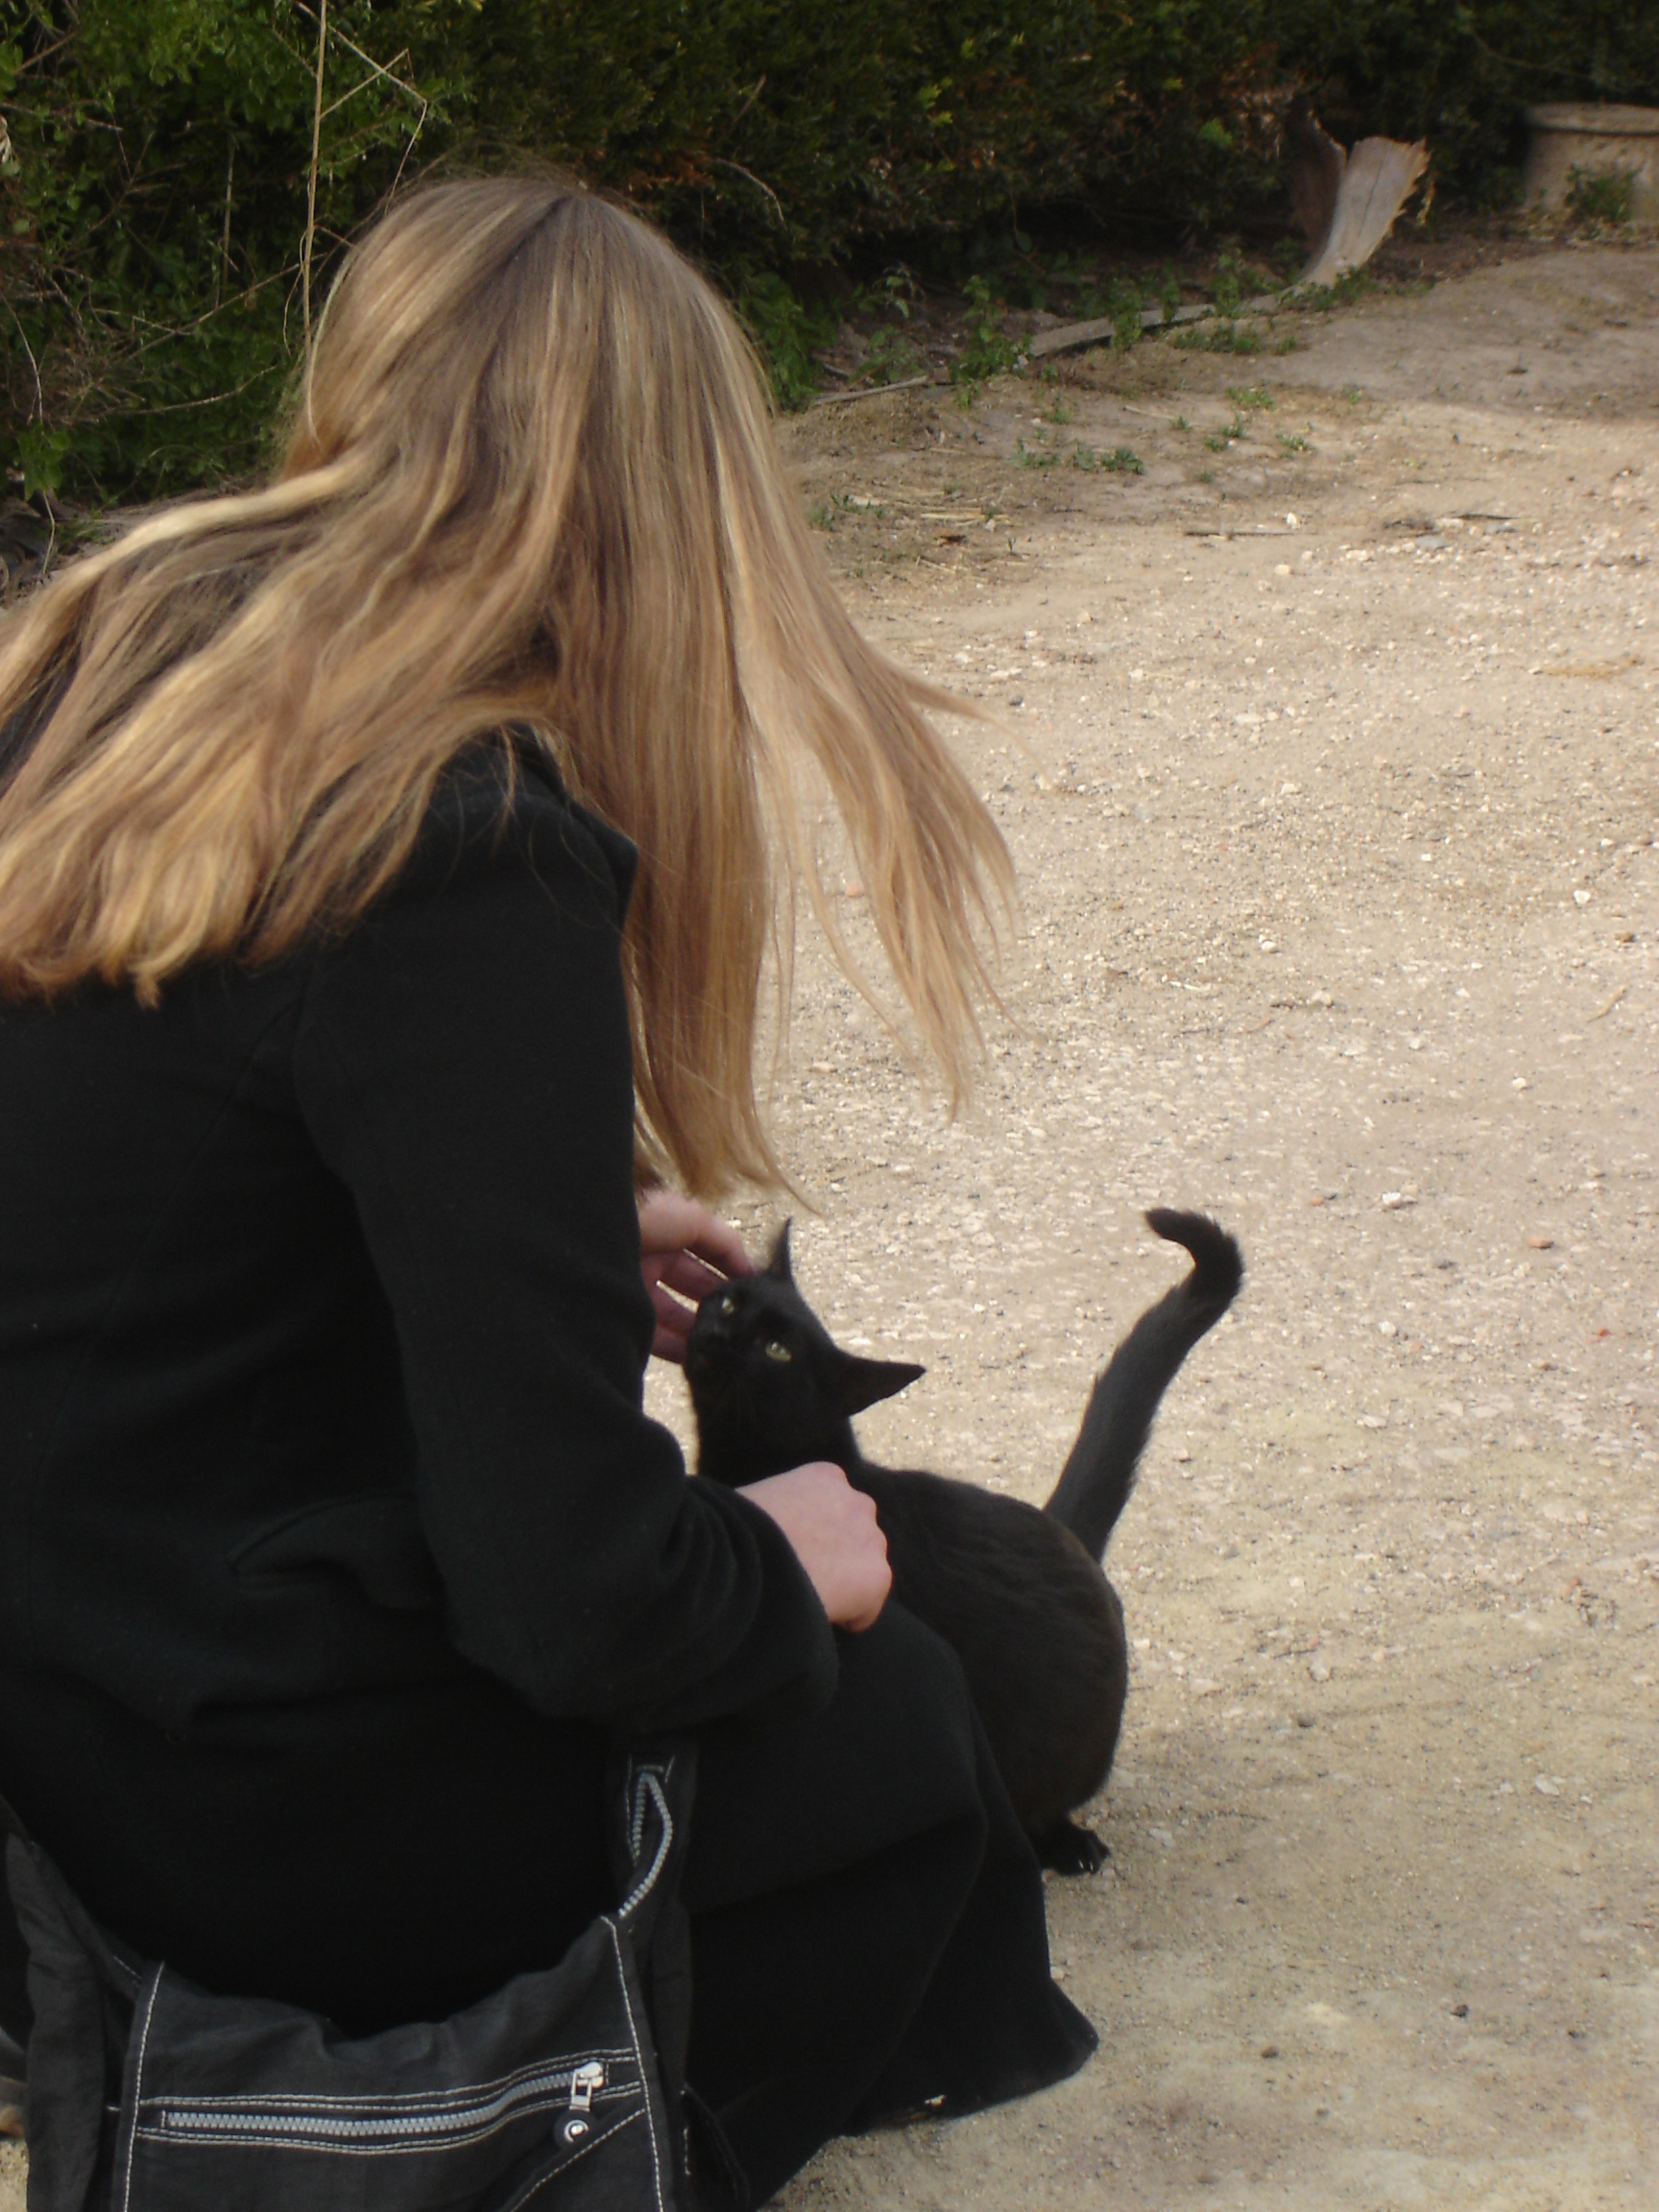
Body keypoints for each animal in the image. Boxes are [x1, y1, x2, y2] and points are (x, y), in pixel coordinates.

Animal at [681, 1212, 1238, 1866]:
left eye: (777, 1351)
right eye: (728, 1302)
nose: (720, 1334)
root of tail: (1062, 1530)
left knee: (1045, 1800)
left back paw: (1067, 1844)